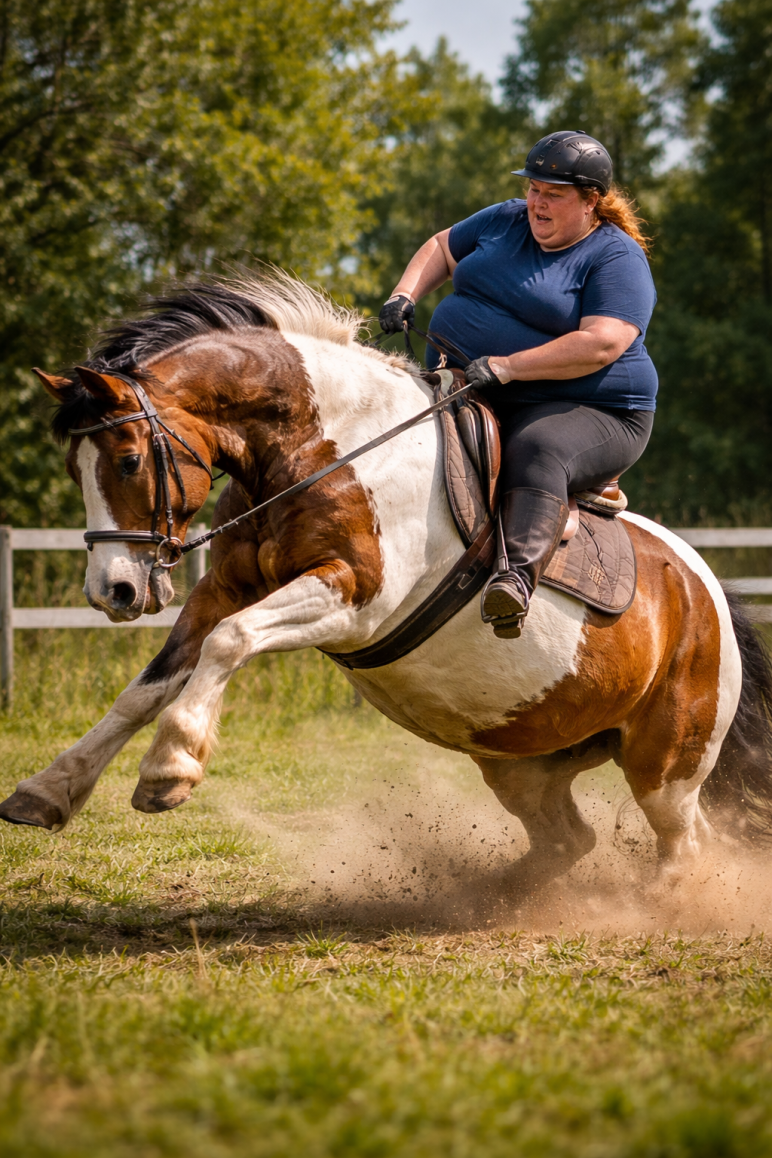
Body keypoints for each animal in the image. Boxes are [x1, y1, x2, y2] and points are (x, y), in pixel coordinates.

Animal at [3, 270, 772, 894]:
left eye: (129, 460)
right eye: (74, 467)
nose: (113, 591)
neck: (324, 448)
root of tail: (706, 592)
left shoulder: (351, 598)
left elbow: (230, 641)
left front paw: (170, 767)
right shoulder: (225, 586)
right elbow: (148, 685)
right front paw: (49, 788)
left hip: (664, 762)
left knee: (684, 842)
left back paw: (661, 904)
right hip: (520, 758)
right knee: (570, 838)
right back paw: (494, 897)